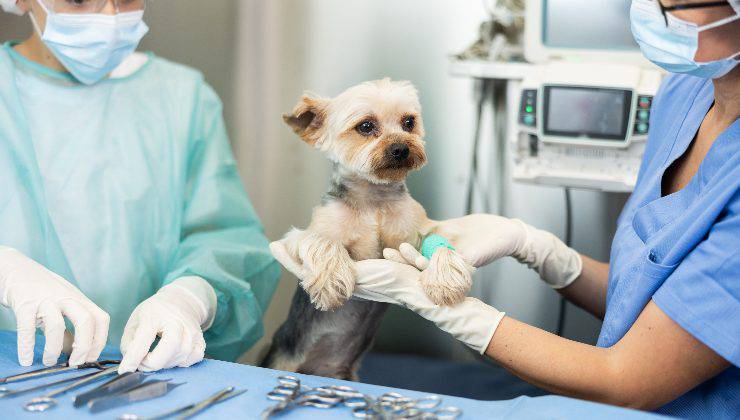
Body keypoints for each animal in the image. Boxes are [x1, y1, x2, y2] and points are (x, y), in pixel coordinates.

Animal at [264, 78, 472, 378]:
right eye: (365, 126)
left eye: (408, 122)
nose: (401, 149)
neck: (374, 200)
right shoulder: (304, 234)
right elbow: (322, 241)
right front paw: (331, 282)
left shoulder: (413, 232)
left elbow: (438, 241)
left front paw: (447, 279)